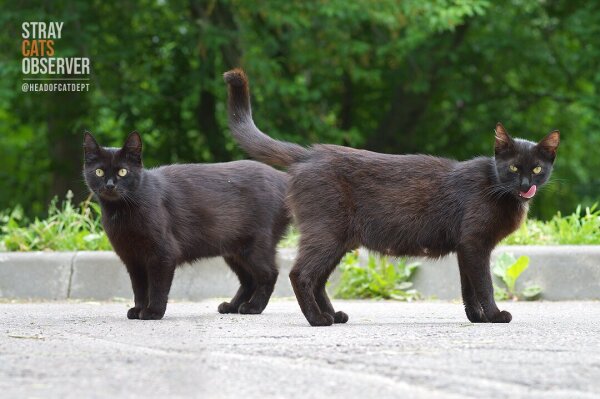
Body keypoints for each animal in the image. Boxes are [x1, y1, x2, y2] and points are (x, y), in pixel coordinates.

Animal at [83, 133, 290, 320]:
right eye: (99, 172)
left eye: (123, 172)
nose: (110, 185)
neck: (122, 211)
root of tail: (283, 178)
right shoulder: (132, 259)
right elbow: (139, 288)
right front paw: (138, 309)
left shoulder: (163, 254)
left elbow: (157, 286)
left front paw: (153, 312)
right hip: (234, 251)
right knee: (249, 280)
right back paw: (232, 306)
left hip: (255, 246)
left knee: (269, 274)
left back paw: (254, 307)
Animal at [223, 69, 560, 328]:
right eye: (513, 167)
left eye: (537, 168)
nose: (526, 184)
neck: (497, 186)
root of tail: (309, 154)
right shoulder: (475, 244)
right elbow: (484, 285)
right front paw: (494, 315)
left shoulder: (465, 248)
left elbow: (468, 288)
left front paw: (476, 318)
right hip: (326, 233)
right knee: (300, 274)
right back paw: (317, 320)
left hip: (339, 240)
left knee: (317, 279)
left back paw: (332, 315)